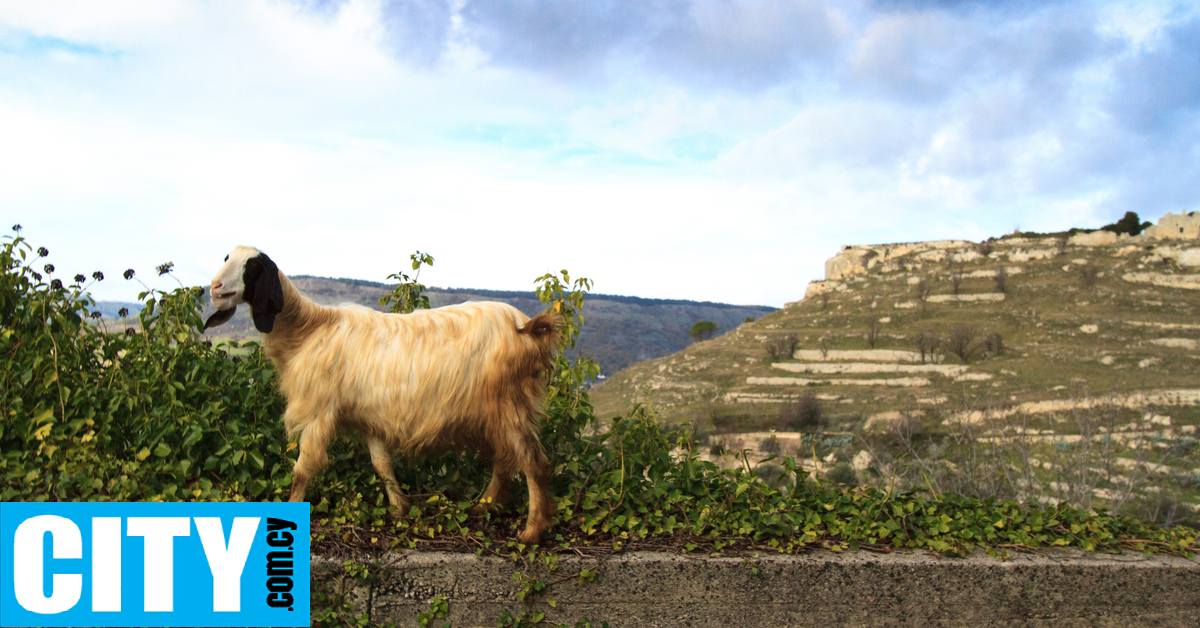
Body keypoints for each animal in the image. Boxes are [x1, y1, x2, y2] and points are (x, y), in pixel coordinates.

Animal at [206, 243, 561, 542]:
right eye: (227, 258)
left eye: (253, 267)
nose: (215, 288)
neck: (308, 330)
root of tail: (525, 327)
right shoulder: (370, 418)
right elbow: (382, 465)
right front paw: (399, 509)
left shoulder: (320, 411)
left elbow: (302, 469)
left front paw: (292, 509)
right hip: (499, 408)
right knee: (505, 459)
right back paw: (484, 505)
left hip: (509, 403)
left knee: (533, 462)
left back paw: (531, 531)